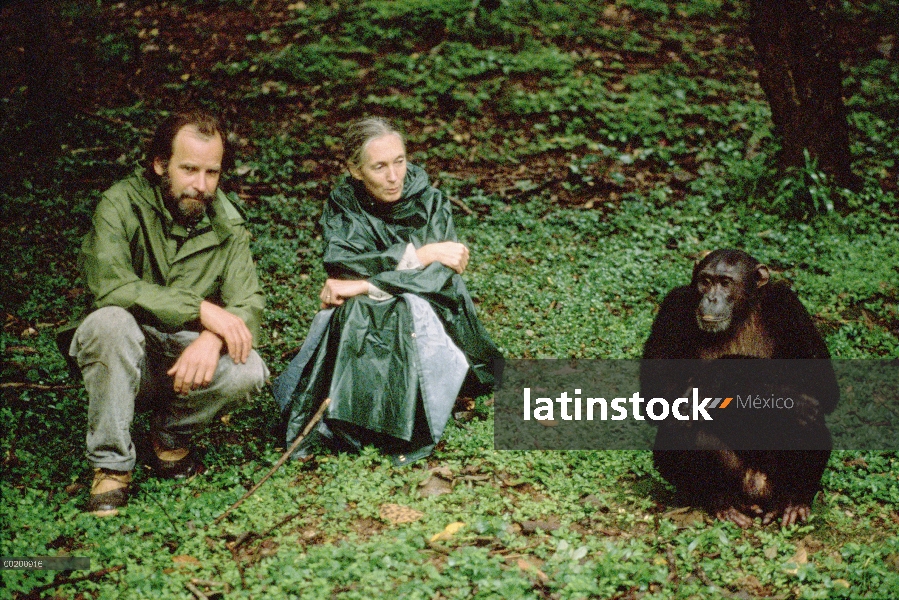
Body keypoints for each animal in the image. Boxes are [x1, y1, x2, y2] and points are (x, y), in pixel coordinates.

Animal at [644, 247, 840, 524]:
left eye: (726, 283)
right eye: (705, 281)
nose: (712, 298)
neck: (741, 314)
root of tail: (756, 492)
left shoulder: (789, 305)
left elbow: (823, 384)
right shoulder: (673, 307)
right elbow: (657, 390)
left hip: (773, 483)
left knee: (809, 416)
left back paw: (794, 501)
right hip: (739, 482)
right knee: (679, 422)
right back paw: (721, 502)